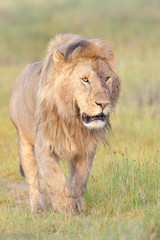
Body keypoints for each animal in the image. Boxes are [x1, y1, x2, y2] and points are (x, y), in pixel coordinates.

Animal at [9, 33, 120, 212]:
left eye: (107, 78)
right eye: (85, 79)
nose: (103, 104)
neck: (72, 119)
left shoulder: (86, 148)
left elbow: (79, 181)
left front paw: (79, 207)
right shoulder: (44, 146)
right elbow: (56, 179)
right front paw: (67, 209)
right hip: (24, 141)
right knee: (33, 180)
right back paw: (38, 209)